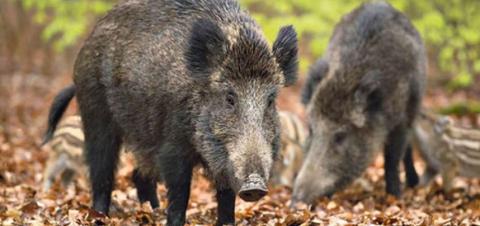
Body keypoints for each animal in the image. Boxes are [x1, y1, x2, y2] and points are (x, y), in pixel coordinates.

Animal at [43, 0, 298, 224]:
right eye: (229, 97)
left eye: (270, 100)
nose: (254, 185)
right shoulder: (172, 147)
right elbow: (180, 193)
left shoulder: (222, 161)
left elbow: (226, 197)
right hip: (95, 113)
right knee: (101, 170)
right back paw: (100, 215)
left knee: (139, 175)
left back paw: (151, 212)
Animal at [294, 1, 426, 205]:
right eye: (311, 129)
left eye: (341, 135)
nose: (296, 200)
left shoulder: (401, 120)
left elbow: (392, 159)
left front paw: (395, 197)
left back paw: (413, 183)